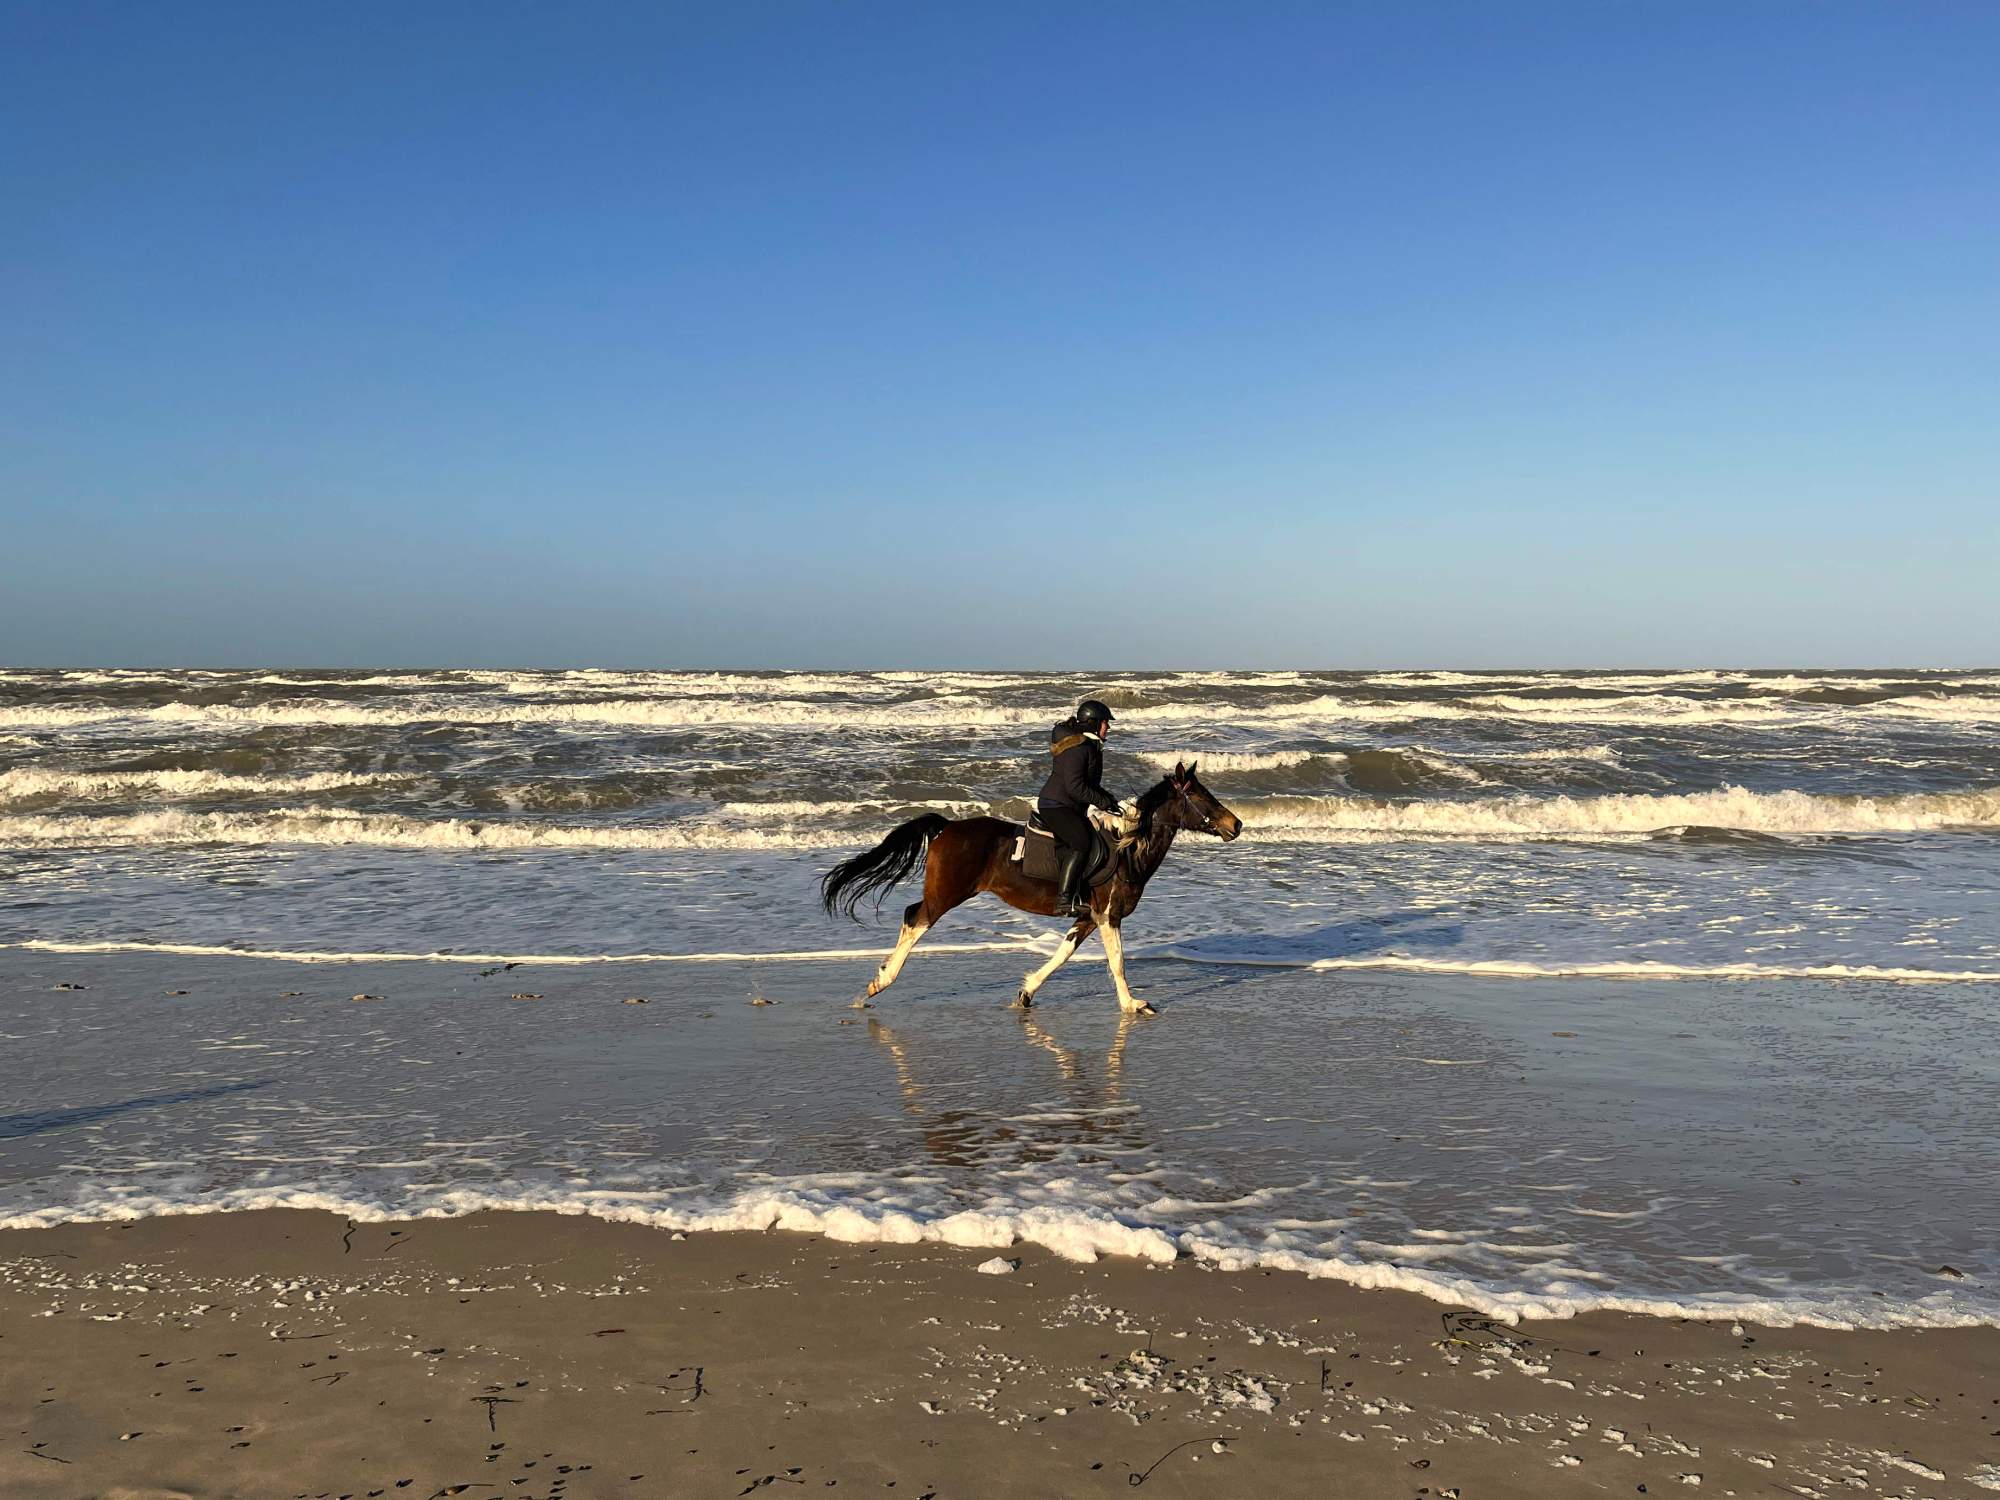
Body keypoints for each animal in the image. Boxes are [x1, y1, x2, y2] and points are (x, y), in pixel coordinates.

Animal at [819, 761, 1242, 1014]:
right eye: (1201, 796)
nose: (1236, 825)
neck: (1127, 848)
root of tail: (948, 827)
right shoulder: (1108, 916)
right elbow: (1118, 962)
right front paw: (1132, 1005)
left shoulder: (1088, 917)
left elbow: (1062, 955)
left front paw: (1026, 992)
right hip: (947, 894)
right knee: (913, 919)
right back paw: (879, 983)